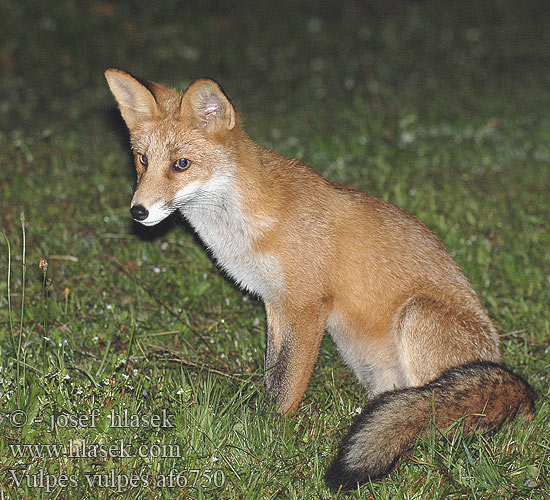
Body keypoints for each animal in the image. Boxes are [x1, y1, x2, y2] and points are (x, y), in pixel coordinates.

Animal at [105, 68, 536, 490]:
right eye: (142, 160)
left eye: (181, 164)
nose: (138, 212)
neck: (249, 224)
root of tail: (520, 392)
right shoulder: (276, 304)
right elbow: (273, 374)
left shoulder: (308, 304)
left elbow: (287, 384)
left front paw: (270, 435)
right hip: (361, 355)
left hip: (416, 317)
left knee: (434, 410)